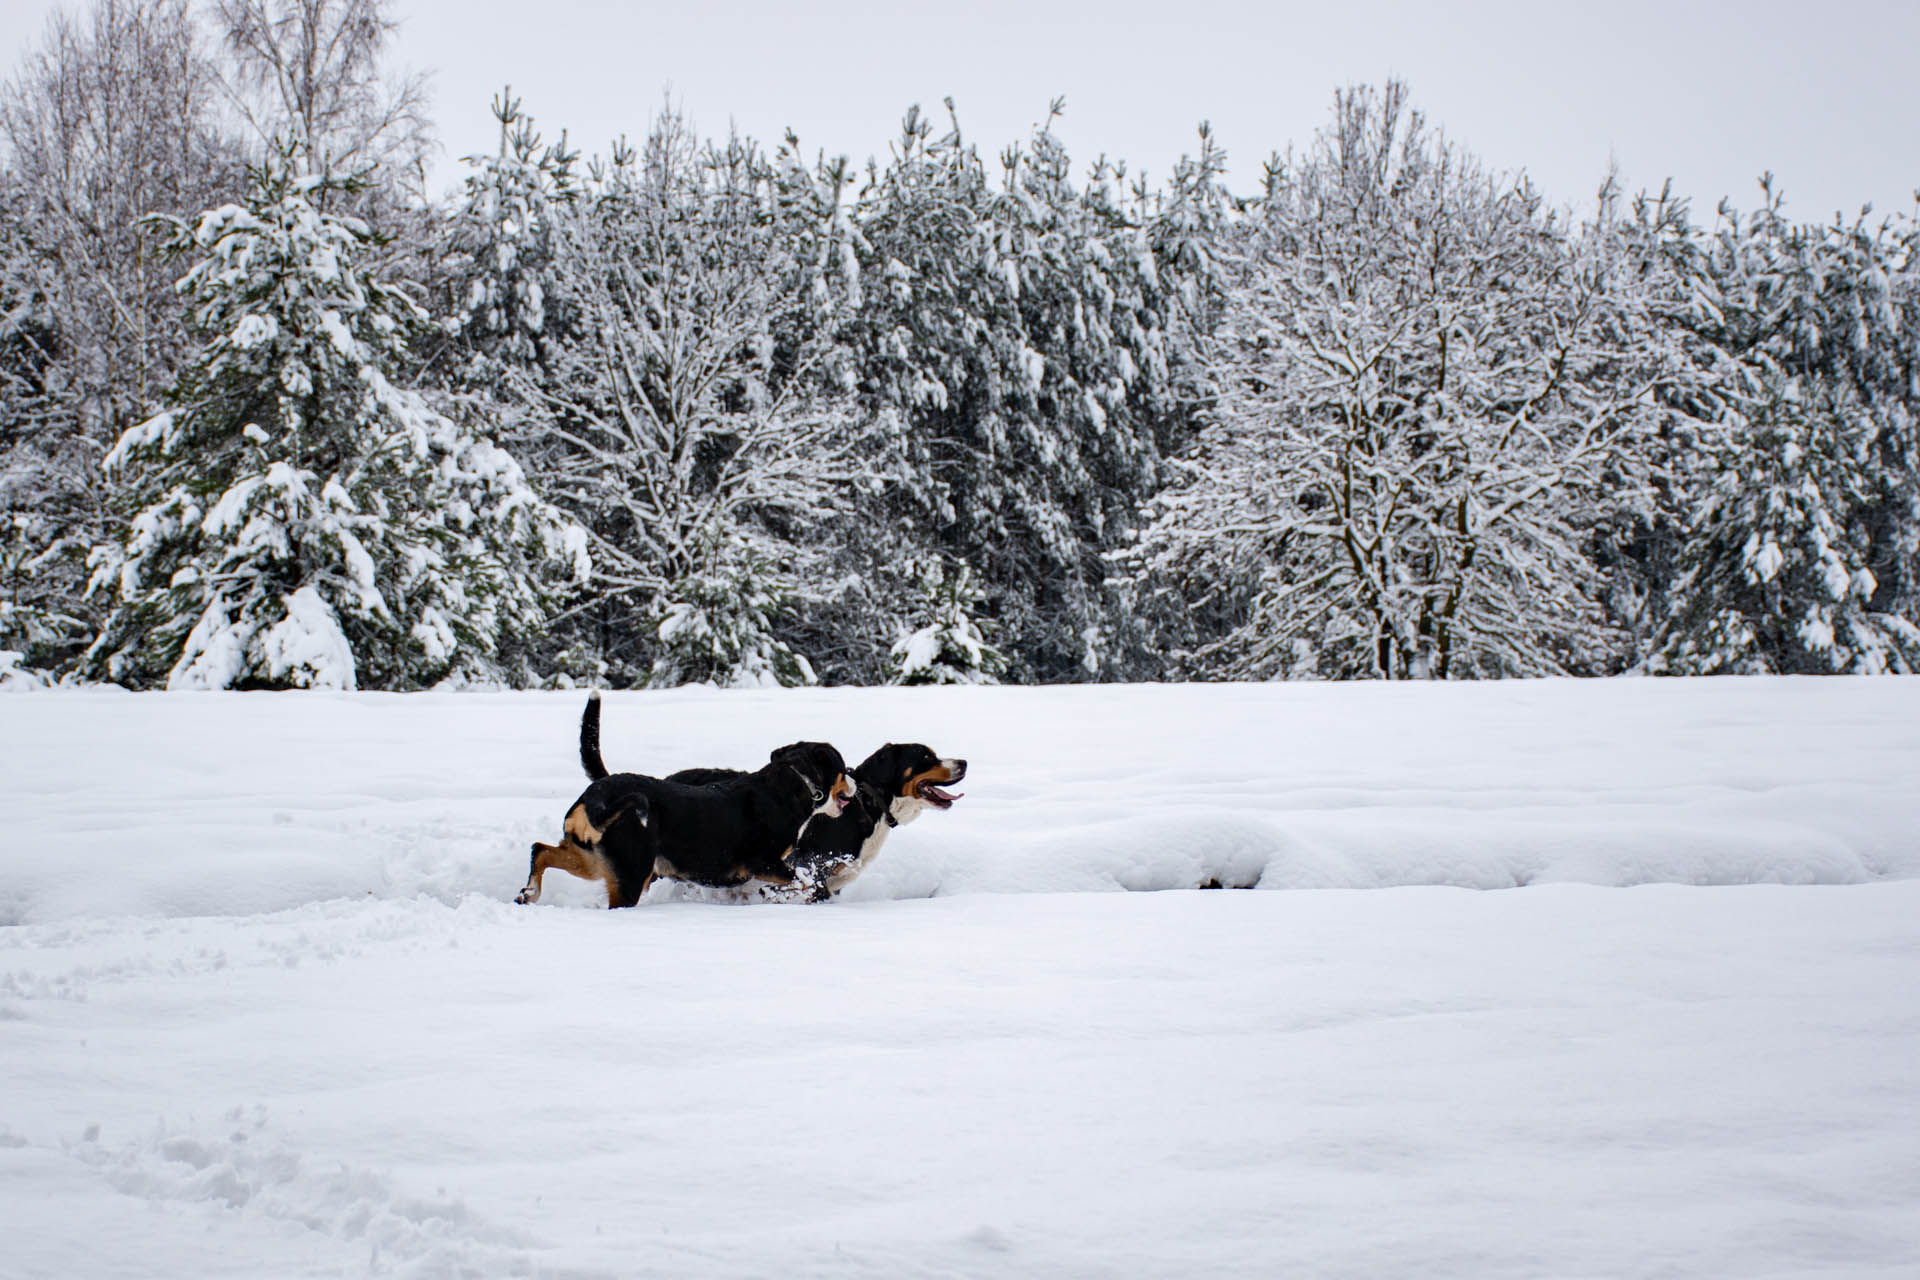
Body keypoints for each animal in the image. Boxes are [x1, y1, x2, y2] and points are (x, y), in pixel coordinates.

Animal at [522, 690, 860, 909]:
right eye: (843, 770)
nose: (856, 782)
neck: (791, 785)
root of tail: (599, 792)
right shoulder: (760, 861)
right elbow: (800, 877)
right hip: (631, 872)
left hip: (592, 857)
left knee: (540, 850)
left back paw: (529, 893)